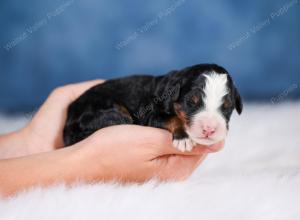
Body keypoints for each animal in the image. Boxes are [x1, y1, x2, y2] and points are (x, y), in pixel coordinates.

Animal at [62, 63, 241, 151]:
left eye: (227, 107)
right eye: (191, 102)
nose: (209, 129)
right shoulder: (152, 115)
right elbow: (173, 118)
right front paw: (183, 138)